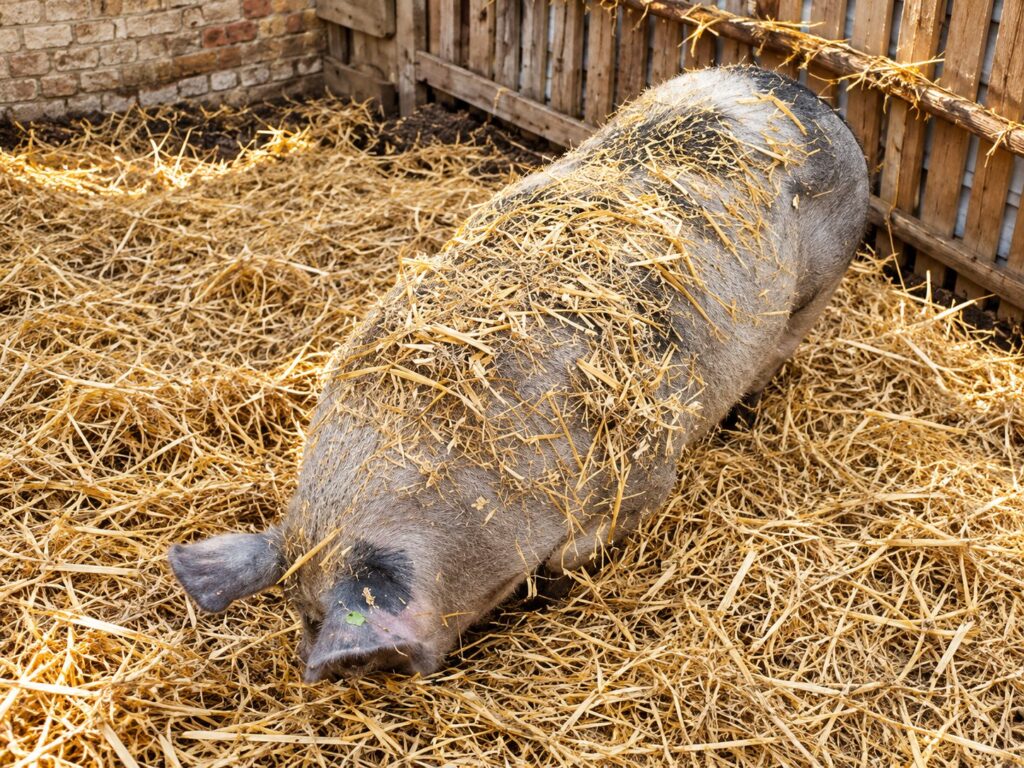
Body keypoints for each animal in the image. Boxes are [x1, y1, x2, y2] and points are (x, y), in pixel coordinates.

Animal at [169, 65, 869, 681]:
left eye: (327, 628)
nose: (316, 665)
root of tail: (810, 97)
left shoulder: (648, 472)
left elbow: (576, 552)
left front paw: (546, 587)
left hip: (820, 286)